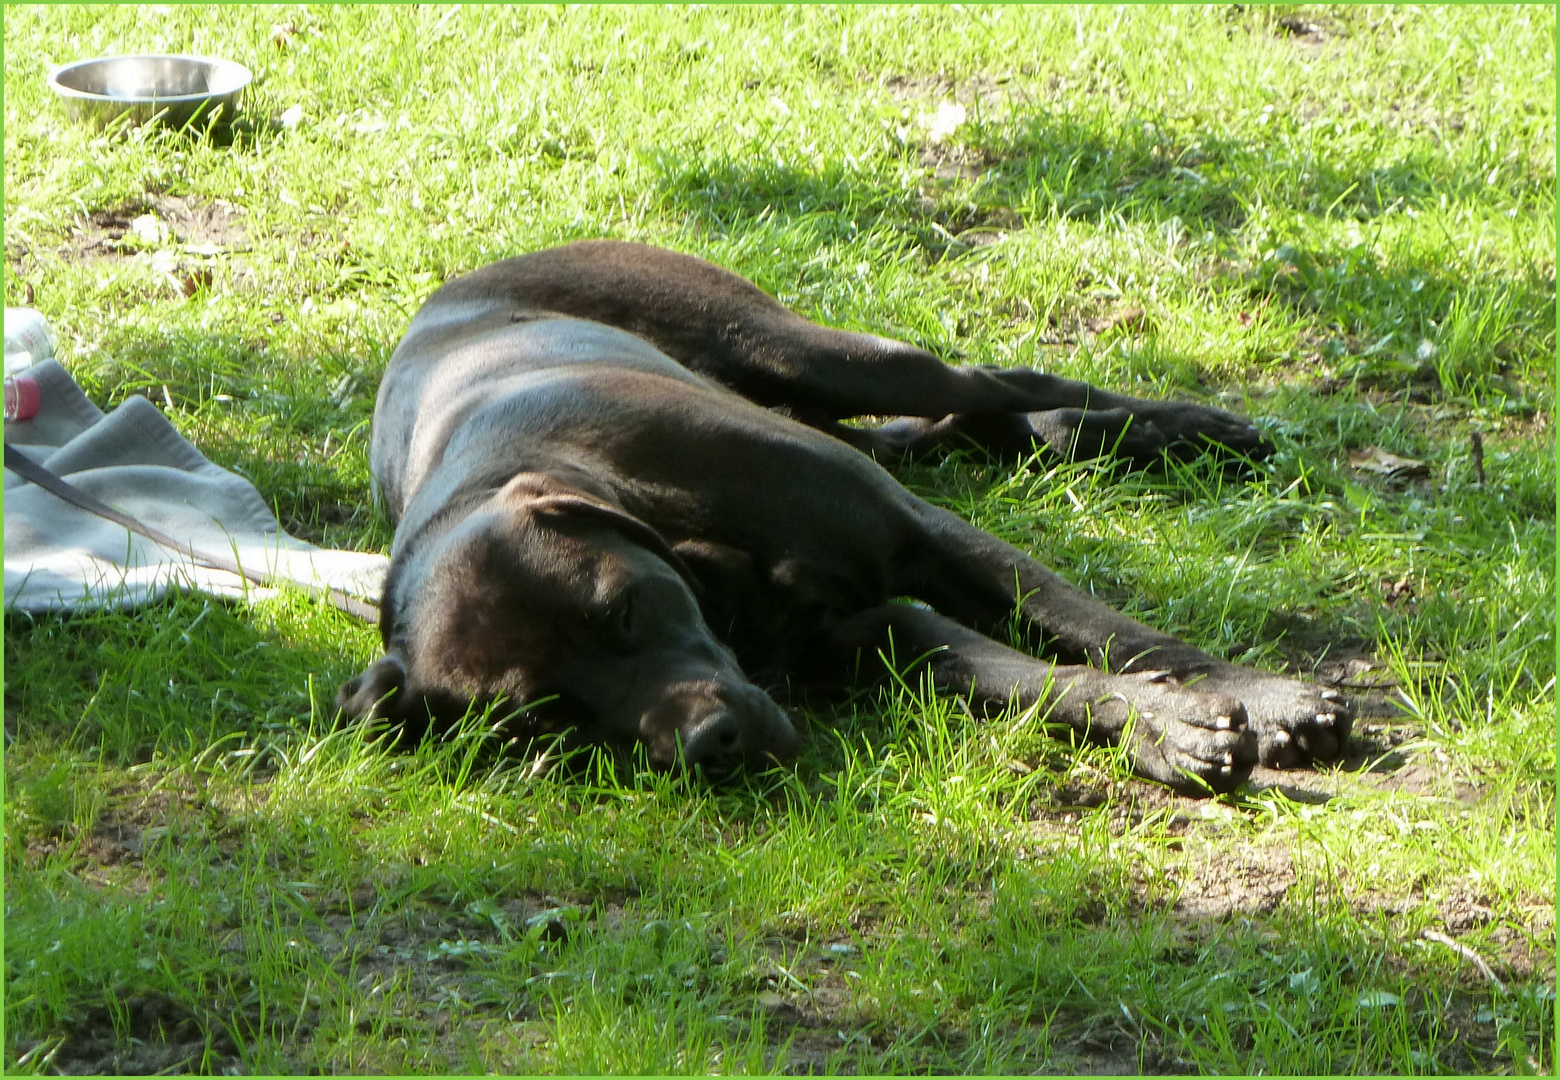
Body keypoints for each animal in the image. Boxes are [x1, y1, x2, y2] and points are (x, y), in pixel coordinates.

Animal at [335, 240, 1347, 792]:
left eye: (620, 611)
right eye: (545, 722)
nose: (714, 745)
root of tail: (452, 286)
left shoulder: (924, 536)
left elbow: (1112, 632)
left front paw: (1261, 692)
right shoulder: (876, 631)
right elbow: (1040, 680)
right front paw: (1163, 730)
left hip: (811, 353)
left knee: (993, 384)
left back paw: (1186, 430)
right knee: (973, 427)